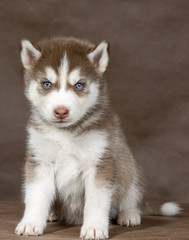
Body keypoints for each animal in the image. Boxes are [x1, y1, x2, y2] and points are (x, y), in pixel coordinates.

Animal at [15, 36, 181, 239]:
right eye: (47, 84)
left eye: (79, 85)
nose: (61, 111)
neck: (66, 133)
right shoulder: (40, 160)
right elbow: (36, 196)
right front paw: (30, 223)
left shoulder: (100, 162)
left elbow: (96, 201)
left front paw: (94, 227)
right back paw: (53, 213)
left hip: (131, 170)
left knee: (131, 197)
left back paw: (129, 214)